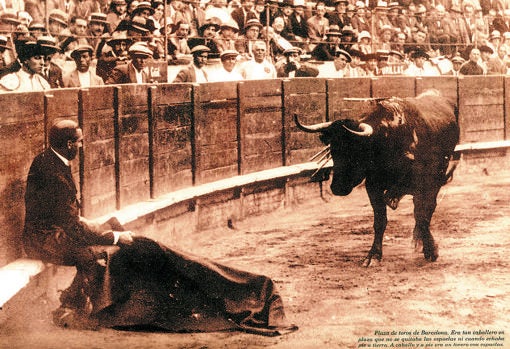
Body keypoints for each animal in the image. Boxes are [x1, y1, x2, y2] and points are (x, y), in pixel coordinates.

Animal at [292, 89, 460, 264]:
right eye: (333, 149)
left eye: (356, 150)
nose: (337, 188)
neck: (388, 139)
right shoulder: (373, 186)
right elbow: (380, 221)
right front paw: (373, 255)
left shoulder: (423, 182)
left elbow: (421, 214)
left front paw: (431, 250)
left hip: (439, 174)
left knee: (428, 208)